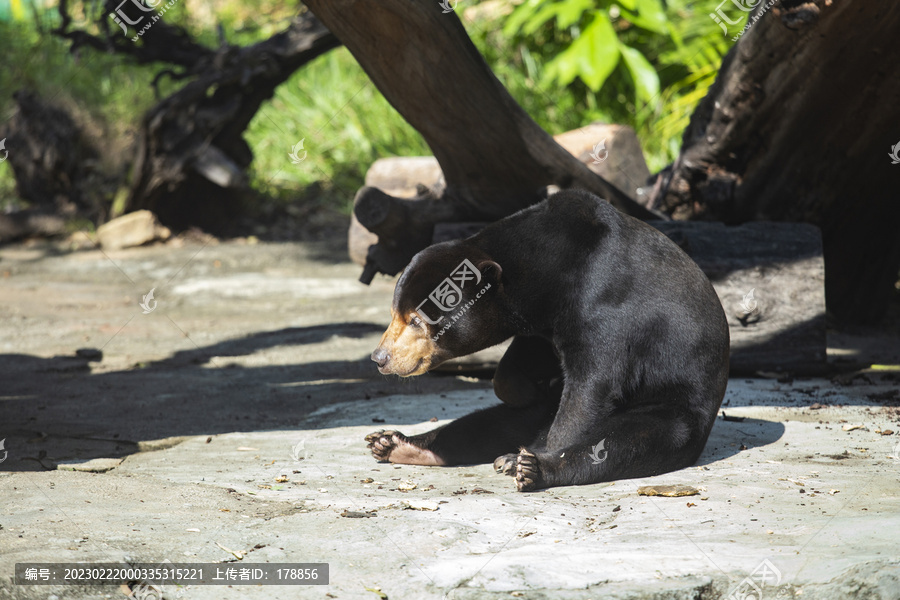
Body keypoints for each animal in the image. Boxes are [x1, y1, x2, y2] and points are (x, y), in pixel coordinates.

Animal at [366, 190, 732, 490]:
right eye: (394, 312)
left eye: (416, 320)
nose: (380, 358)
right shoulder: (542, 322)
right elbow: (521, 362)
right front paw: (529, 388)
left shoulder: (606, 299)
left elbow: (592, 384)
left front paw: (535, 453)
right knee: (485, 424)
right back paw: (396, 445)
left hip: (677, 407)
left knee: (624, 443)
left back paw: (528, 465)